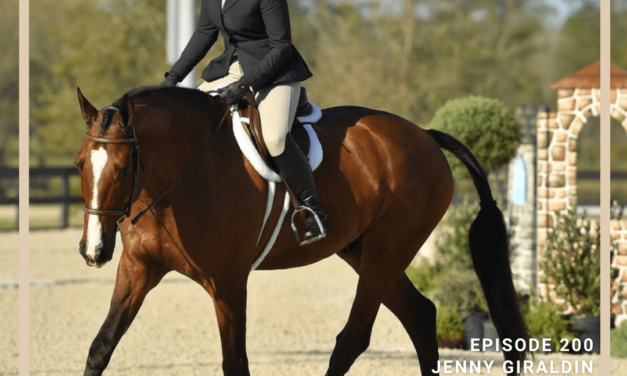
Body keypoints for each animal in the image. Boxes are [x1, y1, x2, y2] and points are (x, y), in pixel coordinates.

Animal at [76, 86, 528, 376]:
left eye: (123, 170)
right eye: (80, 163)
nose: (93, 251)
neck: (183, 172)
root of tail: (425, 137)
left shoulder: (227, 282)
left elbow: (235, 362)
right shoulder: (138, 267)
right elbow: (101, 346)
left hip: (385, 254)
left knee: (352, 339)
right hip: (364, 252)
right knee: (419, 314)